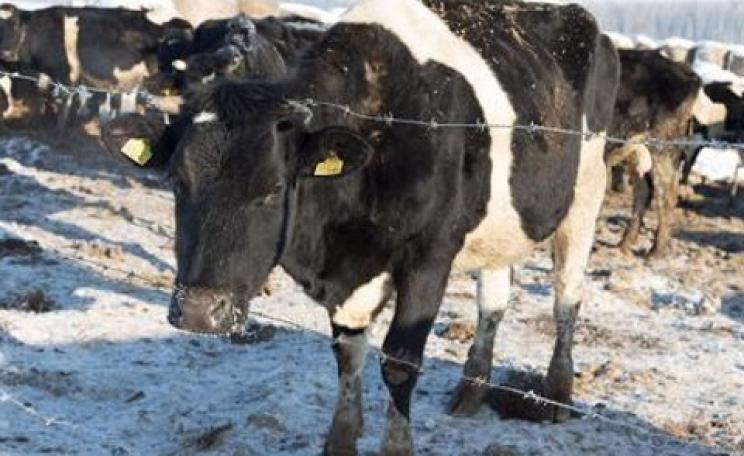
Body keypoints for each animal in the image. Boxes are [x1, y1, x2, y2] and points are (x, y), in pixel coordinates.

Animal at [101, 0, 620, 454]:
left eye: (273, 188)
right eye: (176, 180)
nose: (197, 314)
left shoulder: (429, 256)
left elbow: (400, 361)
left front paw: (396, 446)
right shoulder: (349, 270)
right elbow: (348, 353)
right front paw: (341, 438)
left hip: (587, 192)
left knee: (567, 297)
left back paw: (557, 395)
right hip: (503, 223)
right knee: (493, 298)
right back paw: (471, 391)